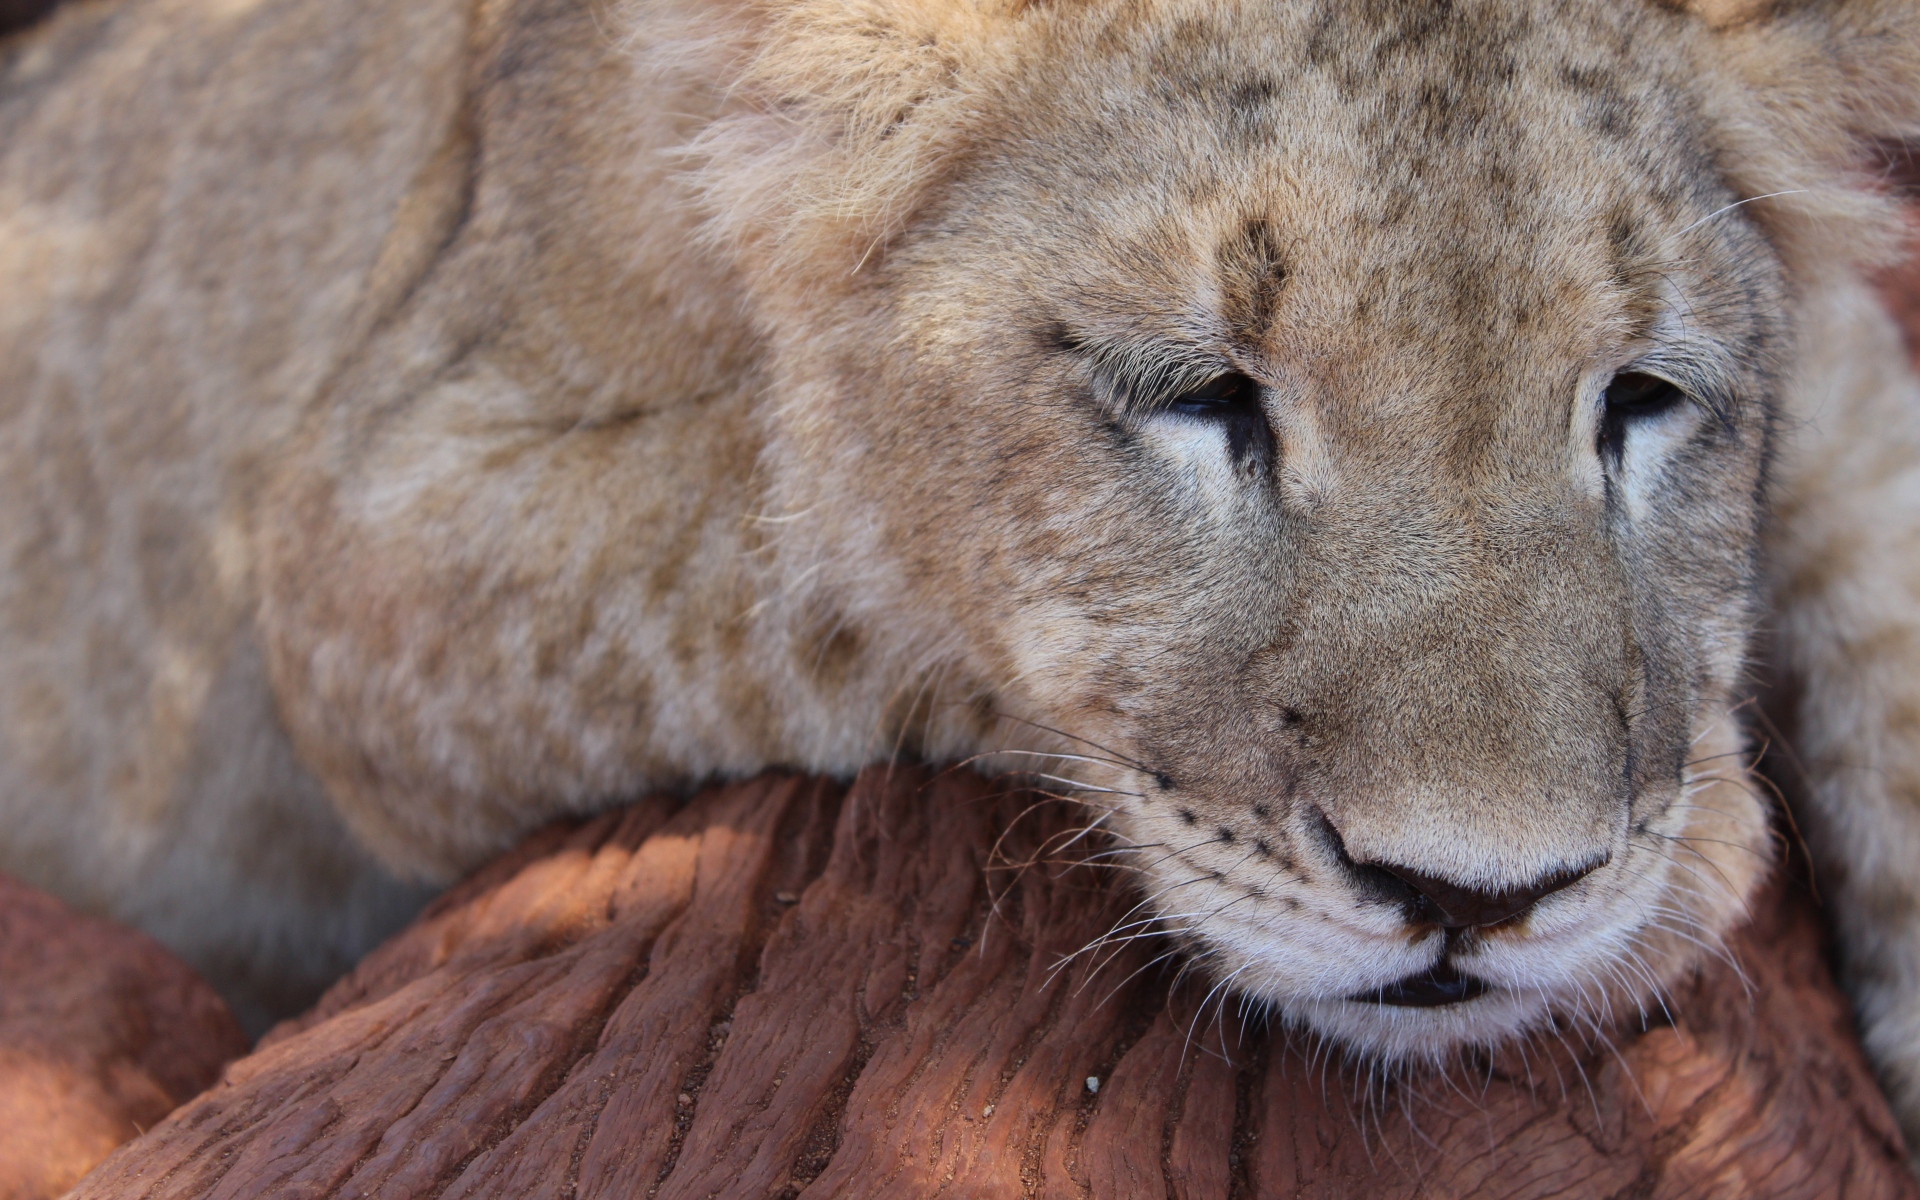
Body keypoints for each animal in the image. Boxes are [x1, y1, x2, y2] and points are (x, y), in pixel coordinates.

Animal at [6, 0, 1920, 1155]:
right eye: (1201, 395)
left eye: (1640, 401)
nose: (1481, 901)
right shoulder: (374, 531)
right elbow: (839, 534)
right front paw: (1702, 851)